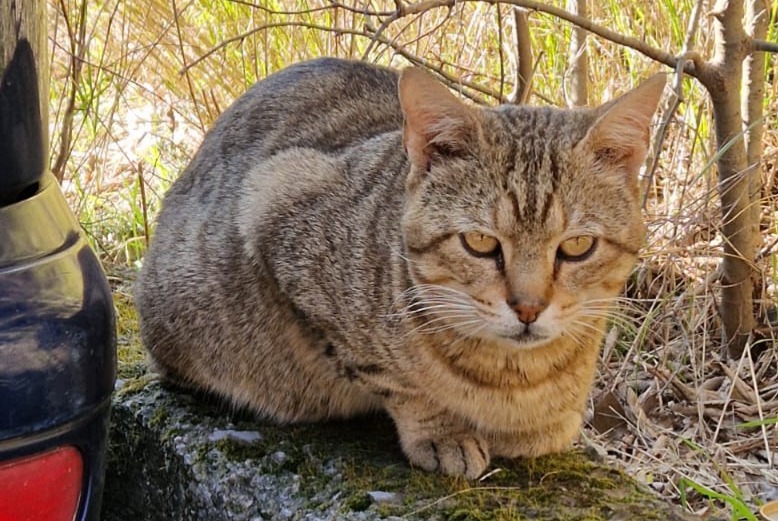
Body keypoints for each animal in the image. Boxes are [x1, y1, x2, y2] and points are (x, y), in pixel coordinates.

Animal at [133, 55, 660, 476]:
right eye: (479, 242)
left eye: (577, 247)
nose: (528, 308)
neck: (514, 376)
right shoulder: (275, 204)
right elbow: (396, 380)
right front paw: (442, 431)